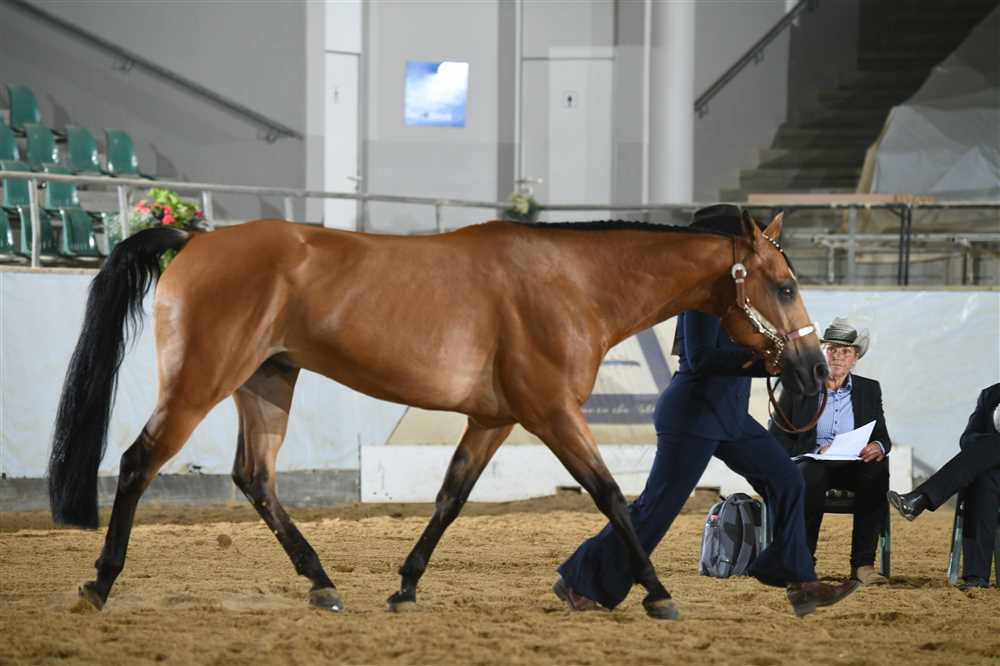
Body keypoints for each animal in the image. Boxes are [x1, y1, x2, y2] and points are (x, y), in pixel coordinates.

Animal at [48, 211, 827, 620]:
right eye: (785, 286)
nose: (816, 370)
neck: (572, 283)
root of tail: (196, 237)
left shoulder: (494, 419)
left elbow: (451, 498)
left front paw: (405, 585)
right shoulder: (552, 413)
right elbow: (612, 495)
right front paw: (659, 595)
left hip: (267, 380)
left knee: (256, 478)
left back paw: (323, 583)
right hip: (202, 381)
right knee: (137, 464)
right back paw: (99, 582)